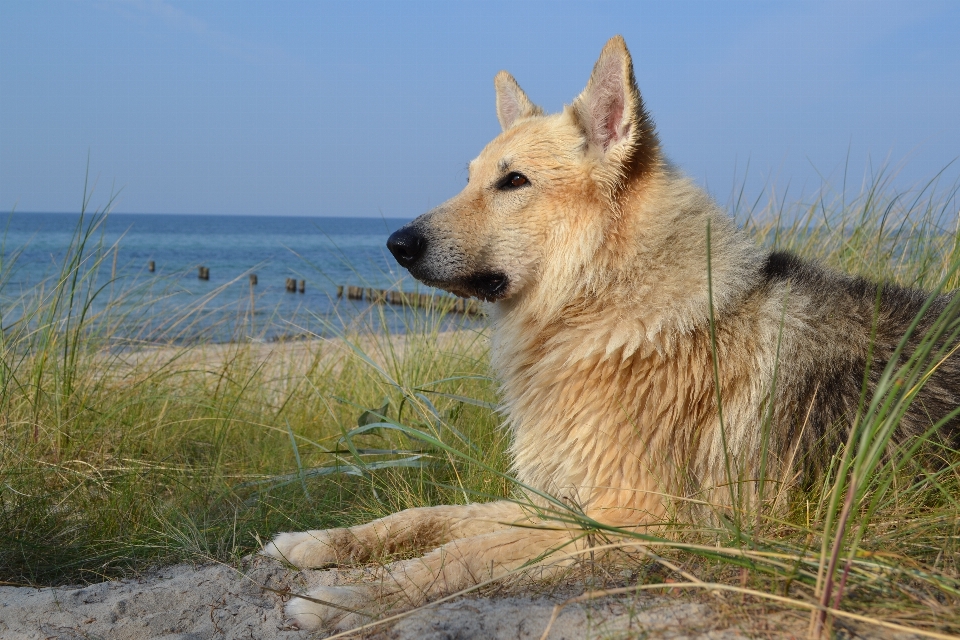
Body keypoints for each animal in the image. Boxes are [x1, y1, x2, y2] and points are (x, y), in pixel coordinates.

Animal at [262, 36, 960, 632]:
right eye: (469, 178)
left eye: (514, 181)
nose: (396, 244)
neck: (607, 306)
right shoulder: (554, 502)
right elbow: (430, 517)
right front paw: (322, 543)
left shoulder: (628, 518)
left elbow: (462, 555)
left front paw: (351, 599)